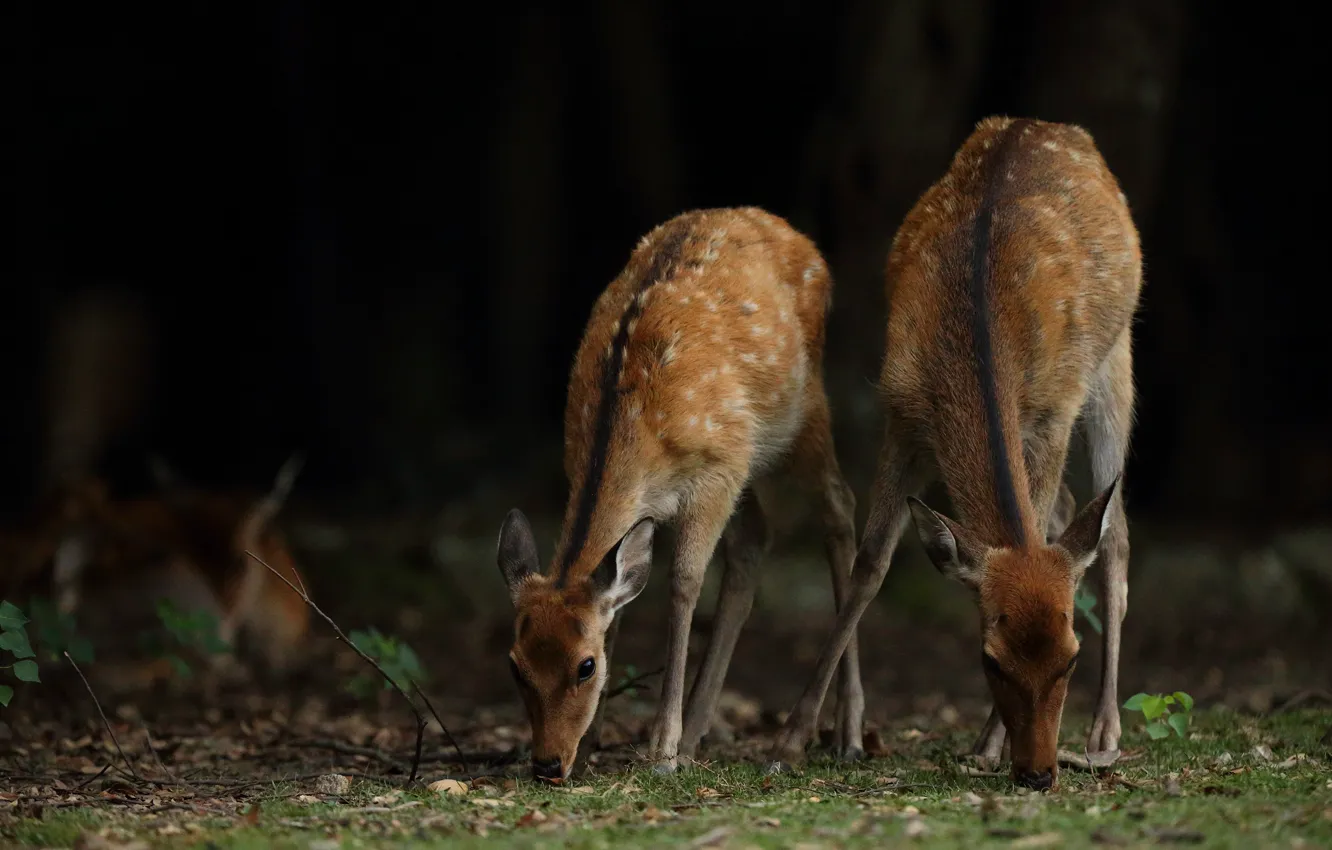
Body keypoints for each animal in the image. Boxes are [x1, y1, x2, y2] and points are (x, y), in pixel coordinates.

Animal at [498, 206, 863, 788]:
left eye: (585, 666)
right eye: (515, 664)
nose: (548, 763)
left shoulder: (715, 471)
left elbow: (684, 584)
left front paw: (662, 750)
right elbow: (620, 602)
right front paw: (599, 741)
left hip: (802, 412)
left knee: (839, 507)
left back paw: (844, 735)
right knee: (757, 537)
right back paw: (700, 733)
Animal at [772, 114, 1145, 794]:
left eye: (1070, 658)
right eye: (989, 660)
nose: (1039, 772)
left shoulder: (1052, 413)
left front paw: (988, 743)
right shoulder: (901, 414)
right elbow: (871, 564)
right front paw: (792, 738)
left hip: (1115, 358)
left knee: (1116, 533)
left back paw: (1105, 732)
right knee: (1075, 515)